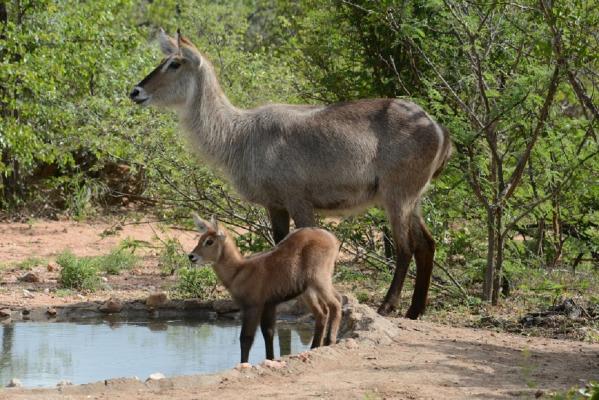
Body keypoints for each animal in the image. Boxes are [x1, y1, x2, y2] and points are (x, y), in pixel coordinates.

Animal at [130, 29, 450, 318]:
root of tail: (437, 126)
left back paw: (388, 306)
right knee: (427, 244)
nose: (135, 91)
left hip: (397, 196)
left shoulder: (299, 201)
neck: (239, 135)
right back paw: (415, 311)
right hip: (413, 198)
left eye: (175, 63)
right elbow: (279, 245)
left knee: (405, 247)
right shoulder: (275, 205)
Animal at [190, 214, 344, 364]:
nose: (191, 256)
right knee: (324, 311)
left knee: (335, 303)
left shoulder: (252, 306)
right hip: (310, 290)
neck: (239, 270)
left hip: (319, 280)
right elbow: (268, 333)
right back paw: (315, 347)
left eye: (209, 241)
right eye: (201, 238)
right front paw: (270, 358)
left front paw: (243, 364)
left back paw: (330, 341)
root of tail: (333, 239)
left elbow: (246, 338)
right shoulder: (269, 305)